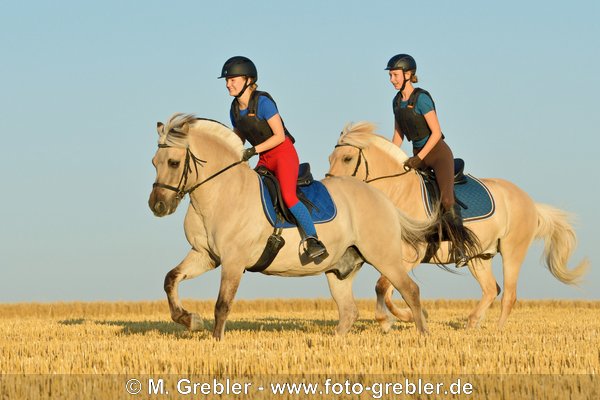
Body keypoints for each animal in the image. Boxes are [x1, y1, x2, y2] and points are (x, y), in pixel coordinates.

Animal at [149, 114, 440, 340]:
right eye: (154, 162)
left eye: (173, 162)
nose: (157, 205)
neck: (220, 192)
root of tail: (382, 198)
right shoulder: (205, 255)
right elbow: (170, 279)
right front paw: (190, 319)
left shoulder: (233, 261)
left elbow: (222, 305)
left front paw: (216, 341)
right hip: (340, 268)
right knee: (349, 311)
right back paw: (334, 342)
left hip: (384, 257)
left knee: (409, 290)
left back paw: (423, 336)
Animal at [326, 122, 588, 332]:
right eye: (331, 158)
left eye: (347, 158)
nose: (330, 186)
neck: (399, 192)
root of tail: (530, 202)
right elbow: (388, 290)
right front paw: (405, 318)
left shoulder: (411, 255)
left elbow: (384, 287)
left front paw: (406, 318)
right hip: (479, 256)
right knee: (491, 289)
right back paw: (472, 324)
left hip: (512, 251)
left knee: (509, 295)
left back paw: (497, 332)